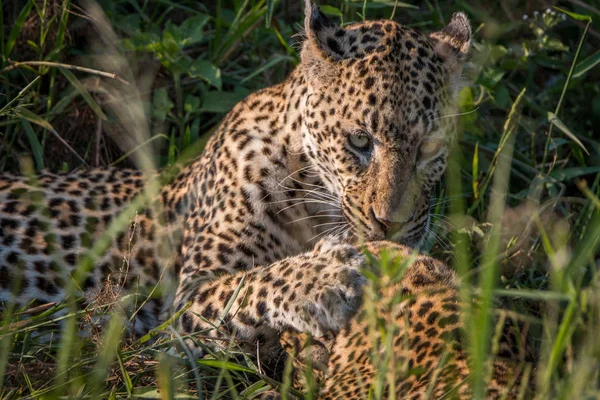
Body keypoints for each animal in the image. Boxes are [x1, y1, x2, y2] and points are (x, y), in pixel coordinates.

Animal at [0, 0, 528, 396]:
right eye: (359, 141)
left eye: (431, 148)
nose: (390, 224)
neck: (314, 199)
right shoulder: (182, 306)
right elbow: (254, 281)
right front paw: (328, 277)